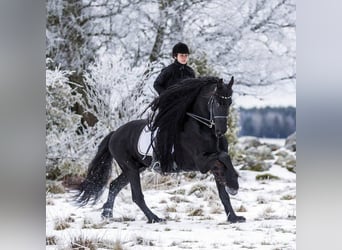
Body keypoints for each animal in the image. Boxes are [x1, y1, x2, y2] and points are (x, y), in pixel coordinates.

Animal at [75, 76, 246, 223]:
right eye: (216, 102)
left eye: (229, 102)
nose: (221, 131)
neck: (203, 129)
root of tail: (114, 133)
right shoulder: (200, 162)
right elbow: (223, 156)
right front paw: (233, 184)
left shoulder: (211, 164)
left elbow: (223, 189)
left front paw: (233, 216)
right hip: (130, 167)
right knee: (136, 195)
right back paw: (154, 218)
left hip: (136, 167)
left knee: (114, 186)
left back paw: (107, 213)